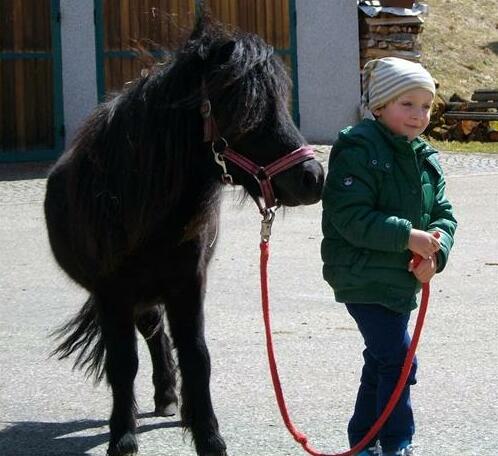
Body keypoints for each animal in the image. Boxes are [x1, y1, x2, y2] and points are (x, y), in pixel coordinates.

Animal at [44, 14, 324, 456]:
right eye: (243, 108)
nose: (313, 178)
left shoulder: (188, 285)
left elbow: (196, 356)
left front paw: (209, 436)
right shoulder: (112, 293)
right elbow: (122, 363)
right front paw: (122, 437)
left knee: (158, 334)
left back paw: (171, 399)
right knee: (150, 334)